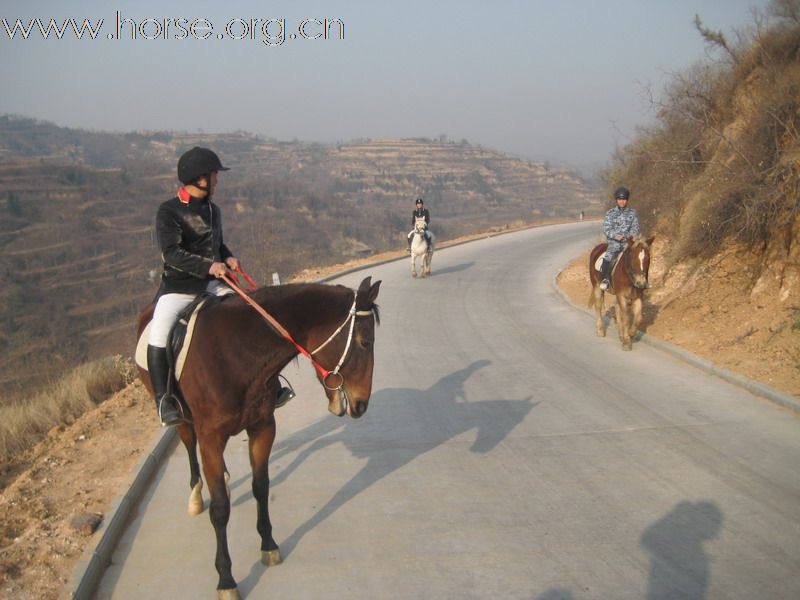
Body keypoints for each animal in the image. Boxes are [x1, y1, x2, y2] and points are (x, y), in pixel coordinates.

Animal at [137, 274, 382, 596]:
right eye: (365, 342)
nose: (362, 404)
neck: (236, 352)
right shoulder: (210, 438)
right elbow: (220, 509)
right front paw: (226, 579)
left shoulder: (263, 427)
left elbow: (261, 487)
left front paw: (268, 545)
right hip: (182, 420)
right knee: (189, 445)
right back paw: (196, 494)